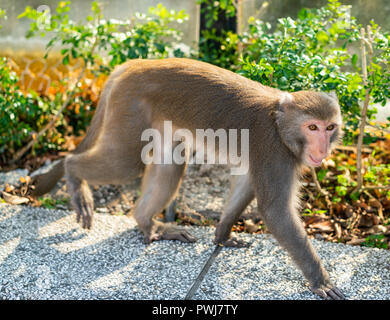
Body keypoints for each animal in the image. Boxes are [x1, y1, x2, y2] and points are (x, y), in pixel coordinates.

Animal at [32, 56, 344, 298]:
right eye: (312, 127)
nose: (322, 148)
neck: (279, 124)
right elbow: (275, 211)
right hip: (130, 108)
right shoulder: (273, 150)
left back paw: (148, 224)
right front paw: (320, 281)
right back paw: (73, 175)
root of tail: (135, 64)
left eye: (329, 127)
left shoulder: (264, 155)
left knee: (170, 163)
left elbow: (245, 182)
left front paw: (222, 234)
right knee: (125, 162)